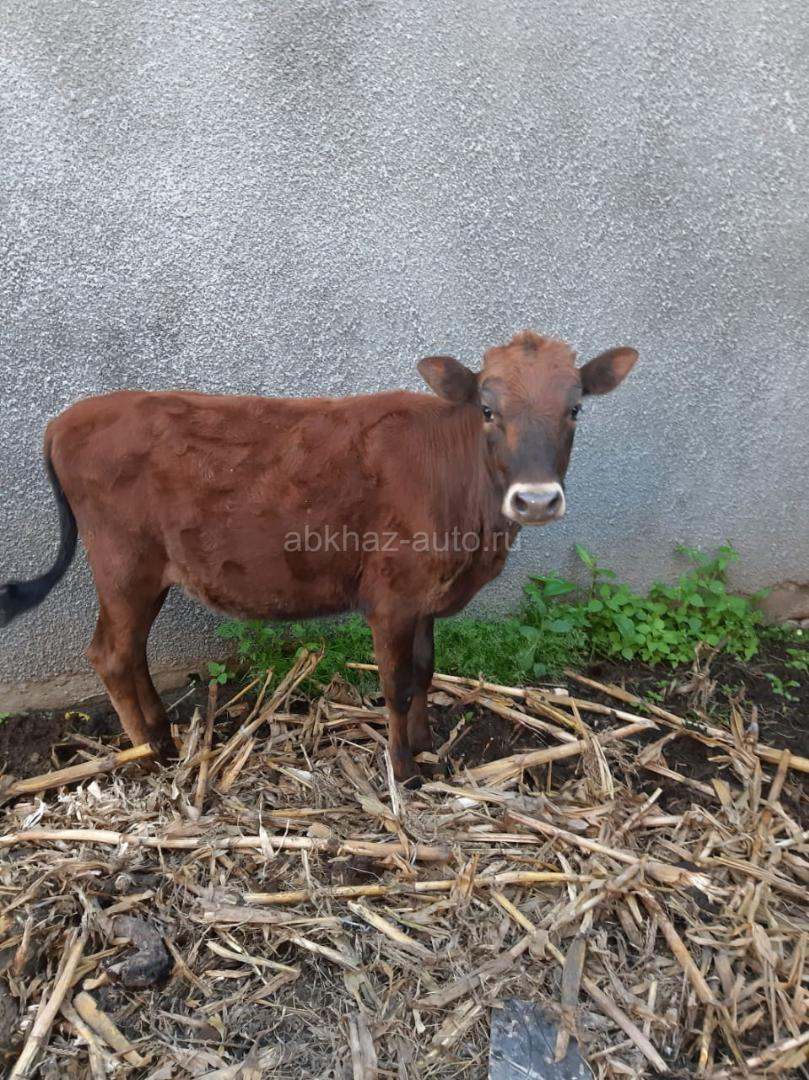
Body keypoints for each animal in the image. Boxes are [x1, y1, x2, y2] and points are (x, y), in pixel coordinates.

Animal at [1, 331, 637, 782]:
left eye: (575, 408)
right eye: (487, 409)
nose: (536, 499)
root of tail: (66, 419)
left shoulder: (424, 595)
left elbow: (426, 671)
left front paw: (426, 746)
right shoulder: (391, 597)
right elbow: (396, 683)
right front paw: (404, 771)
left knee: (128, 654)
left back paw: (162, 737)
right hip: (124, 564)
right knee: (111, 653)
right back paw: (150, 753)